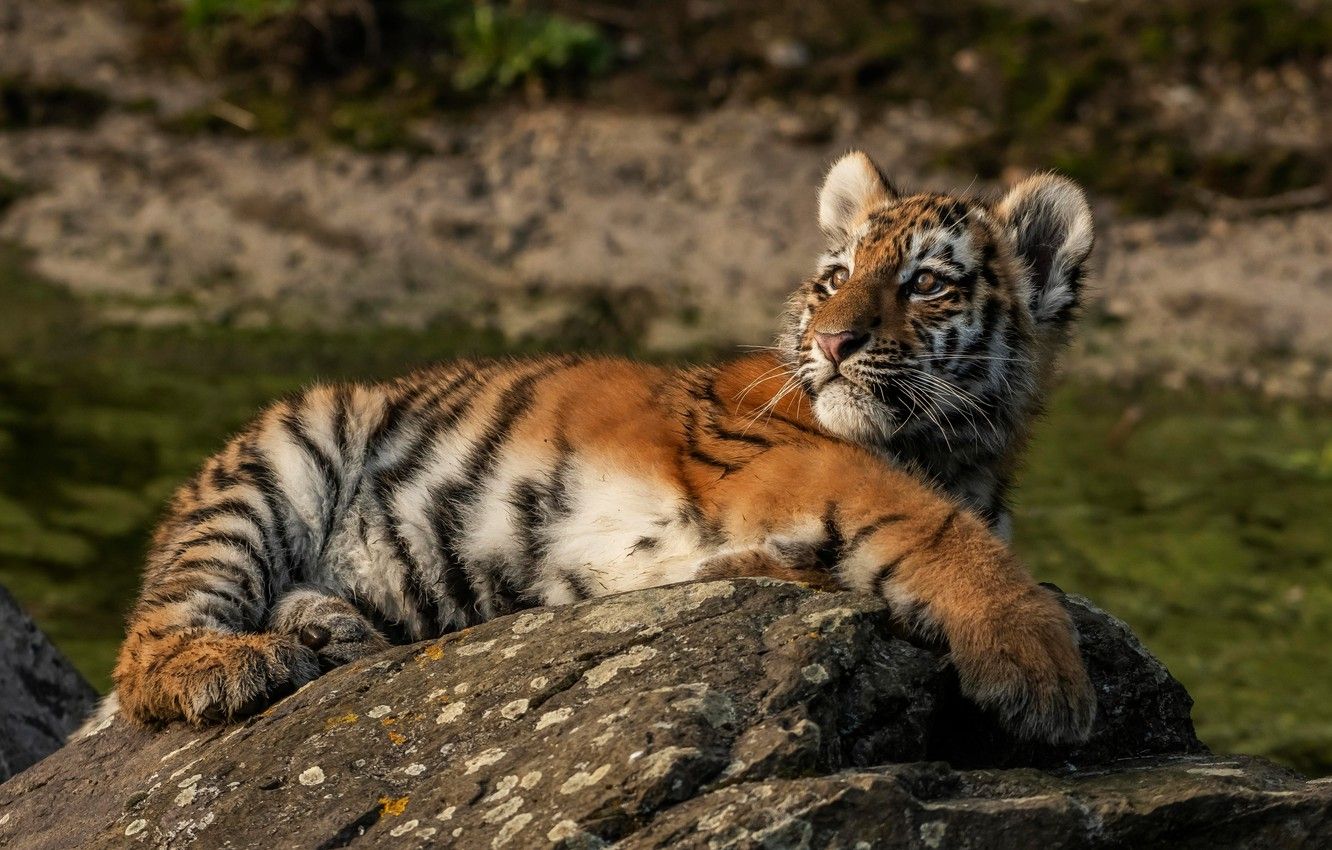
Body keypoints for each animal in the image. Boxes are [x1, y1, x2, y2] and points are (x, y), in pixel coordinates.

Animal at [89, 150, 1098, 744]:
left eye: (925, 283)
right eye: (836, 277)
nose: (832, 342)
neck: (955, 449)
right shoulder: (775, 459)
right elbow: (931, 525)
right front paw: (1040, 668)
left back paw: (329, 629)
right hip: (283, 458)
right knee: (147, 647)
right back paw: (235, 664)